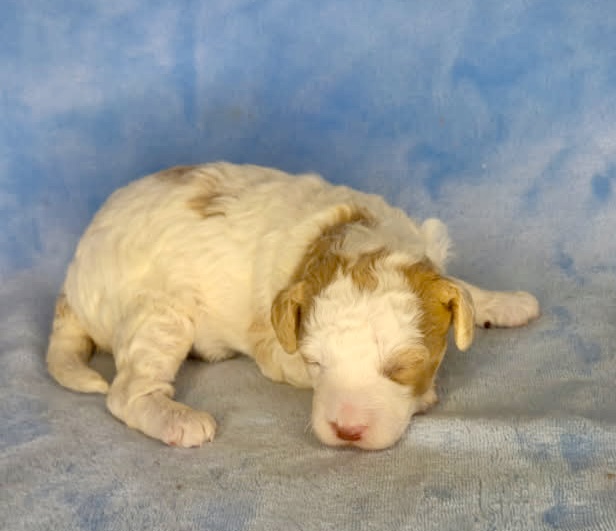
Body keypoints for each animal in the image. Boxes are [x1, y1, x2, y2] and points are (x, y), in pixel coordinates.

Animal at [47, 162, 539, 450]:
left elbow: (458, 286)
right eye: (316, 364)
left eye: (402, 367)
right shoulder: (274, 346)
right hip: (160, 313)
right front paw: (429, 396)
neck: (356, 237)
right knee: (127, 391)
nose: (346, 432)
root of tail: (73, 276)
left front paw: (505, 301)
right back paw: (177, 420)